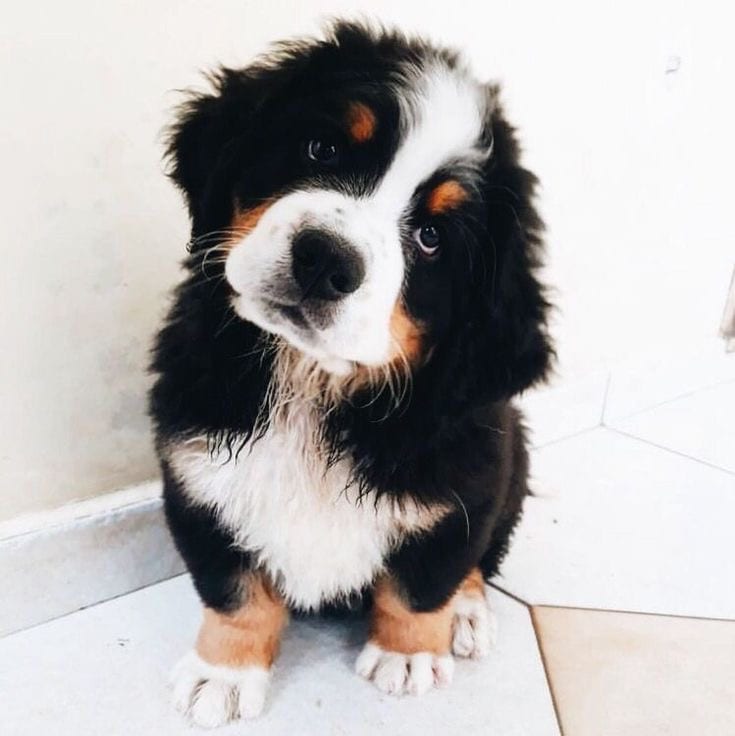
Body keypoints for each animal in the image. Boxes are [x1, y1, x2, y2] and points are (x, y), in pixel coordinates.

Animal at [150, 20, 552, 728]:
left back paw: (468, 611)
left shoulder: (464, 486)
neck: (313, 383)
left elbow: (423, 580)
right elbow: (234, 590)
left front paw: (408, 654)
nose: (324, 260)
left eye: (430, 237)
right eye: (323, 148)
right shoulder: (197, 475)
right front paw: (222, 672)